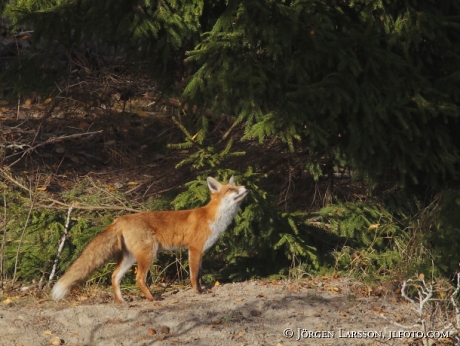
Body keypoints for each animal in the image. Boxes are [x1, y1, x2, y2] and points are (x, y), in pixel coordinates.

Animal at [51, 177, 248, 302]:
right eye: (231, 189)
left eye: (237, 185)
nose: (246, 187)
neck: (213, 217)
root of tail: (121, 218)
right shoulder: (194, 249)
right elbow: (194, 275)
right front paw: (198, 292)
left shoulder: (201, 252)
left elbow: (199, 274)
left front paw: (203, 288)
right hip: (148, 255)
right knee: (139, 279)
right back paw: (152, 298)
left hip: (130, 257)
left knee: (115, 276)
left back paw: (121, 302)